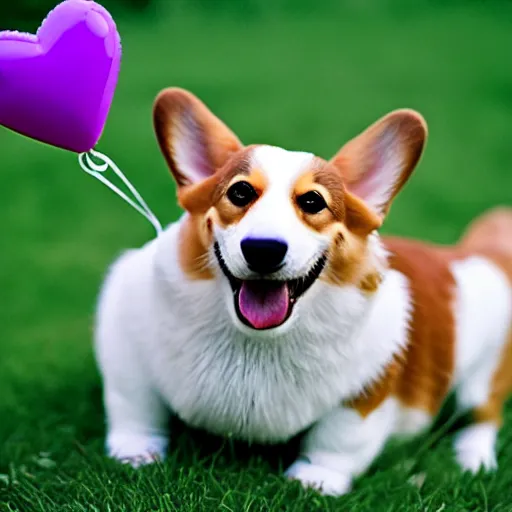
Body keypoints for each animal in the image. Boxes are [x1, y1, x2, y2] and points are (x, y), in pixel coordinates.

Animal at [95, 88, 512, 496]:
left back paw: (473, 461)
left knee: (483, 417)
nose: (263, 249)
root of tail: (474, 254)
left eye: (313, 201)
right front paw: (136, 455)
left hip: (484, 375)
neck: (254, 345)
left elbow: (338, 440)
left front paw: (314, 479)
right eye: (240, 193)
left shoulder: (365, 393)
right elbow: (135, 406)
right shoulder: (125, 343)